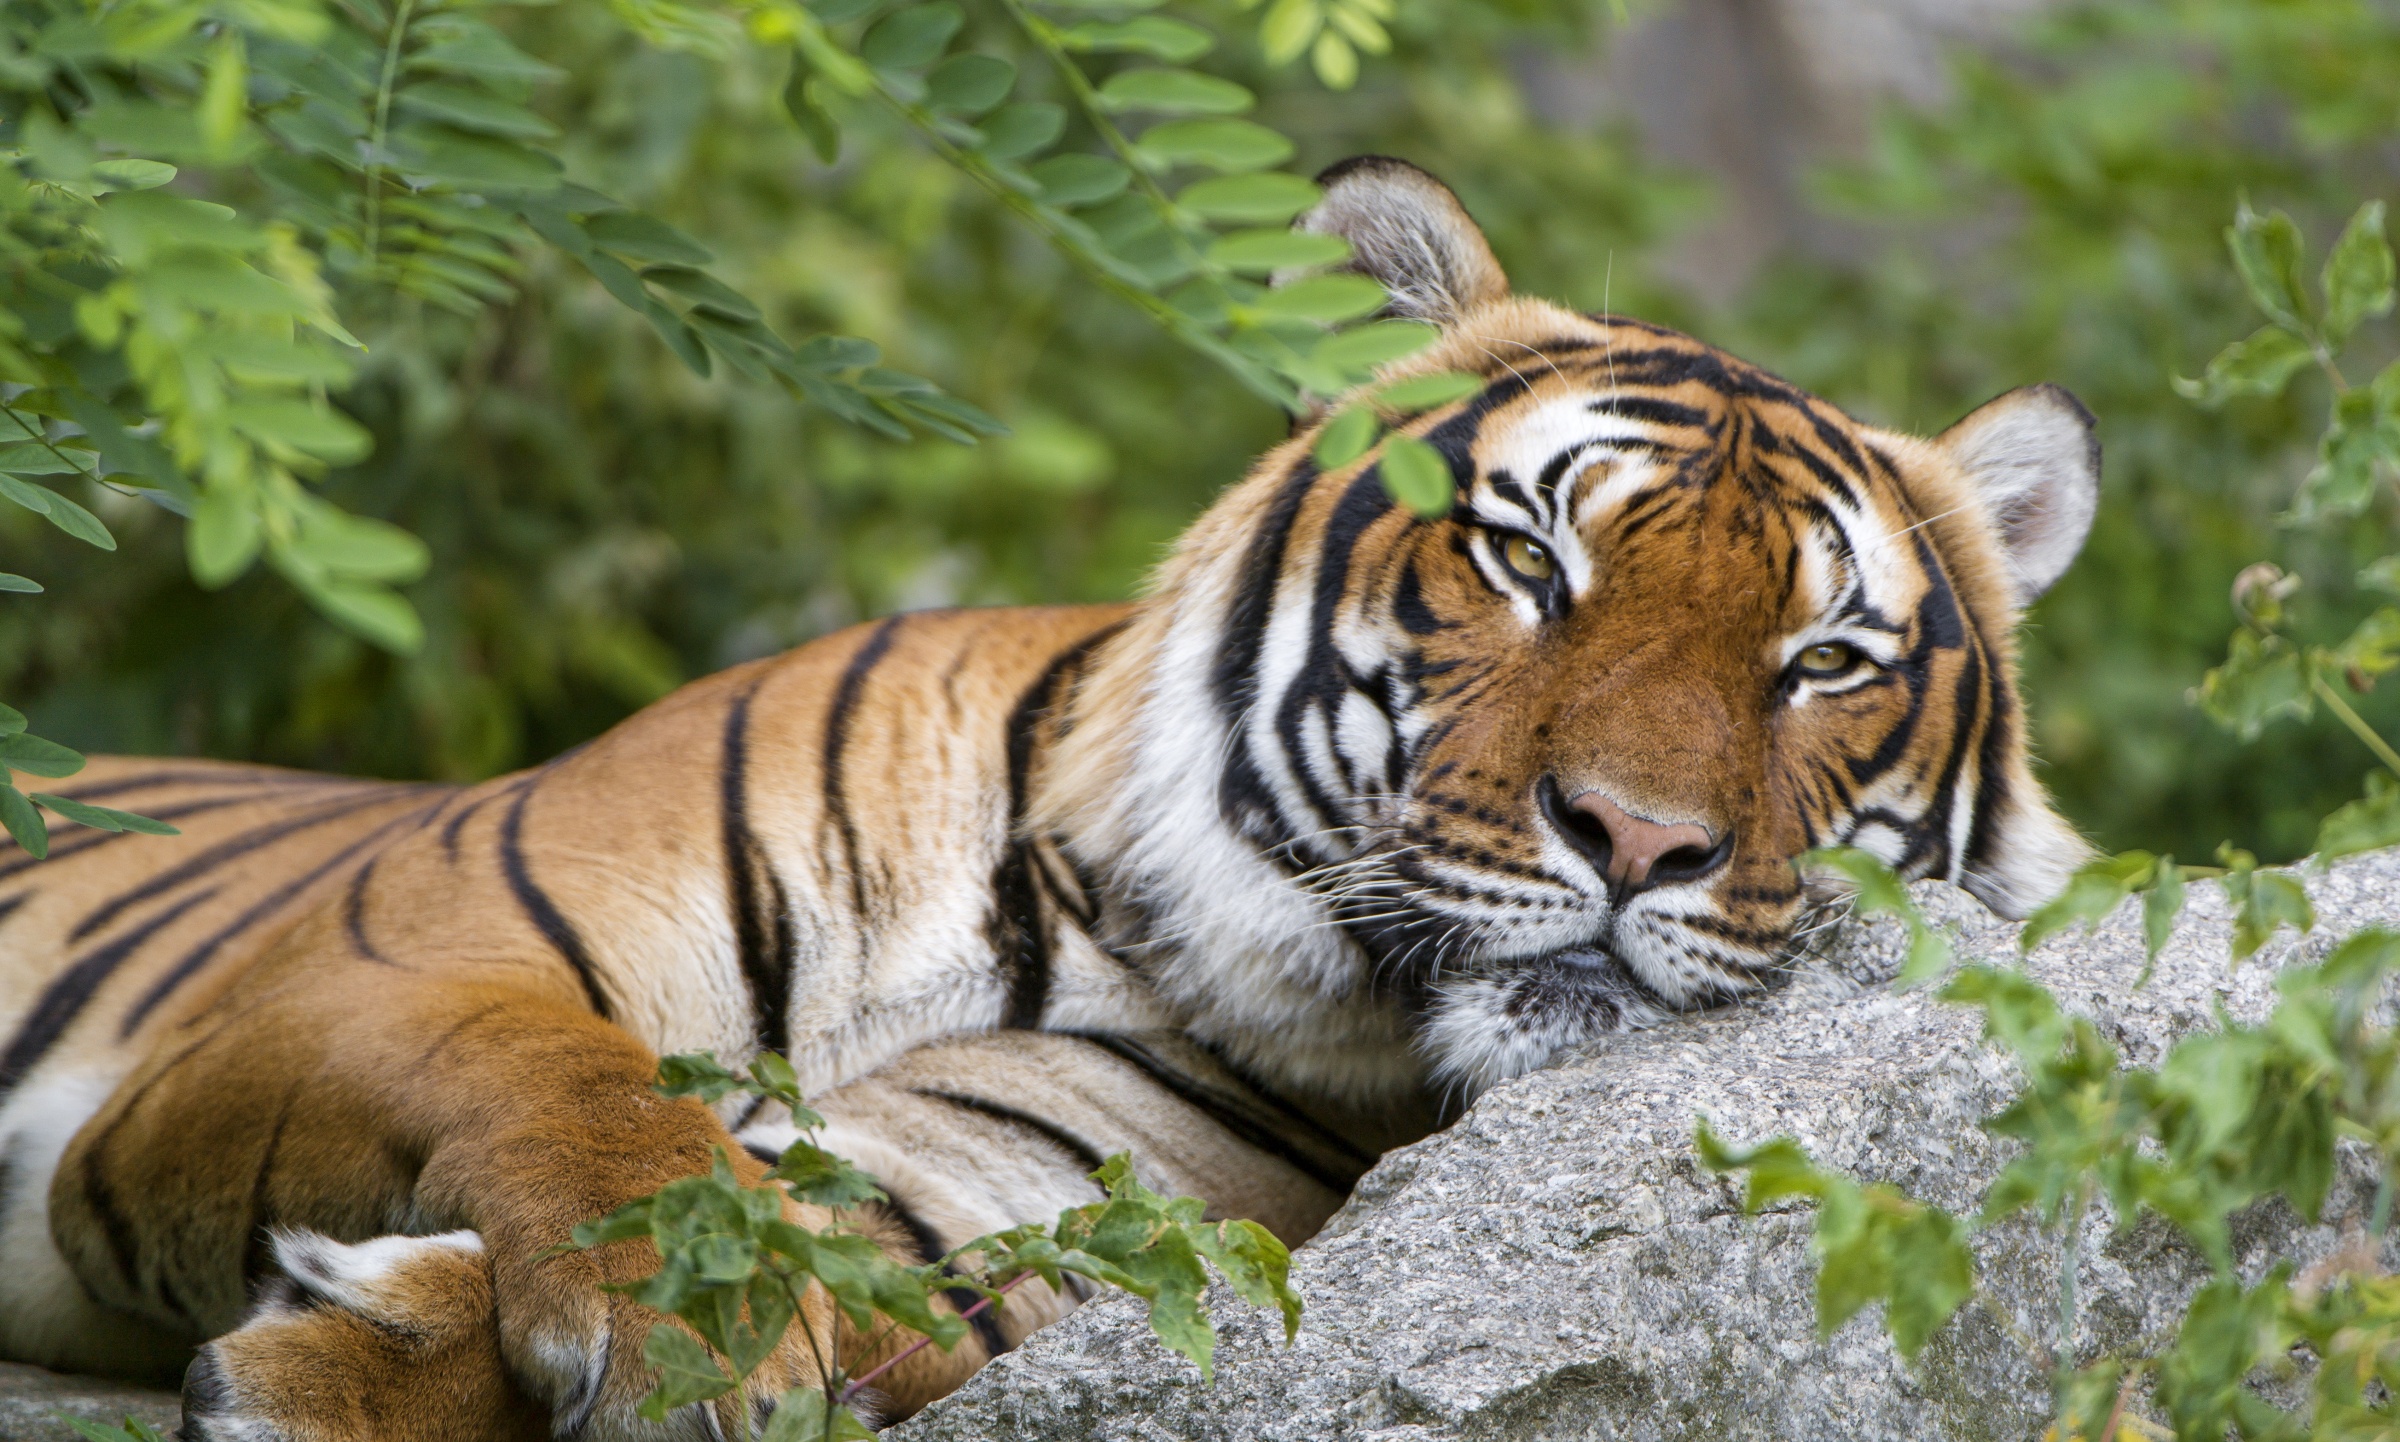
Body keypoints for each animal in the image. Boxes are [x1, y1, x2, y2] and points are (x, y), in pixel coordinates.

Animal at [0, 151, 2092, 1430]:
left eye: (1822, 662)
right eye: (1527, 559)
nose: (1640, 838)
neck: (1077, 907)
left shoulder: (1055, 1183)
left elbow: (827, 1240)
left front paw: (395, 1358)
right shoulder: (355, 974)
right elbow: (583, 1085)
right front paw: (661, 1326)